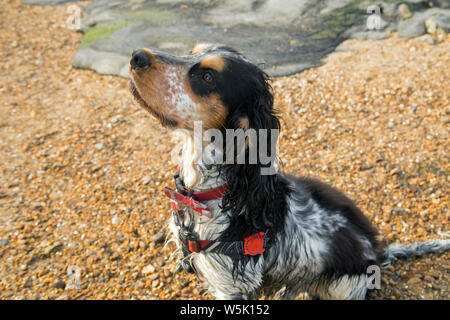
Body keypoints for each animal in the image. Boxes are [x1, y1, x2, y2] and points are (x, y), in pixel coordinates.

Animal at [128, 43, 448, 298]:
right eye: (191, 51)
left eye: (208, 77)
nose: (136, 56)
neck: (211, 192)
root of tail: (377, 253)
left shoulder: (231, 286)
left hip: (343, 286)